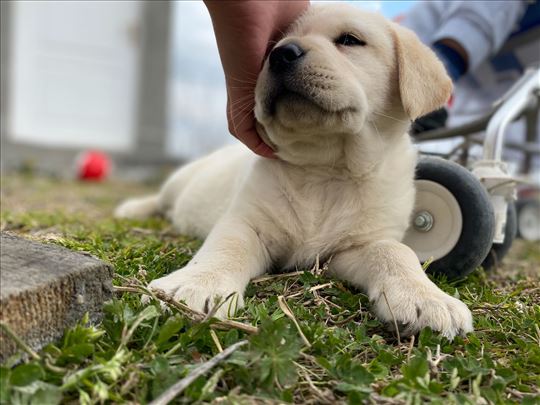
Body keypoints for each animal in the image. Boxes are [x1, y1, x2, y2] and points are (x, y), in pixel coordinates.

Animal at [117, 3, 472, 338]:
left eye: (349, 40)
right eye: (272, 44)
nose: (281, 54)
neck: (326, 168)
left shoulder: (354, 249)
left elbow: (396, 252)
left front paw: (427, 298)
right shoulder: (246, 222)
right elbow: (225, 246)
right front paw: (194, 284)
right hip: (180, 181)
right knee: (160, 199)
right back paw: (132, 209)